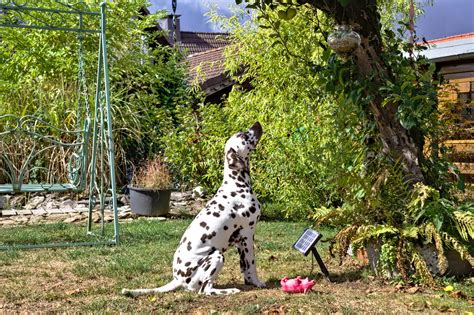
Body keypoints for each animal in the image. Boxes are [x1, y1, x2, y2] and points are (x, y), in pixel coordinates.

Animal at [122, 122, 264, 298]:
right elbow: (251, 264)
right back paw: (229, 290)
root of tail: (178, 279)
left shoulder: (240, 241)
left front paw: (249, 282)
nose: (257, 124)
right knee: (205, 290)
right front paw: (258, 283)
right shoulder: (247, 234)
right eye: (243, 135)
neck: (236, 185)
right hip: (216, 256)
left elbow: (244, 267)